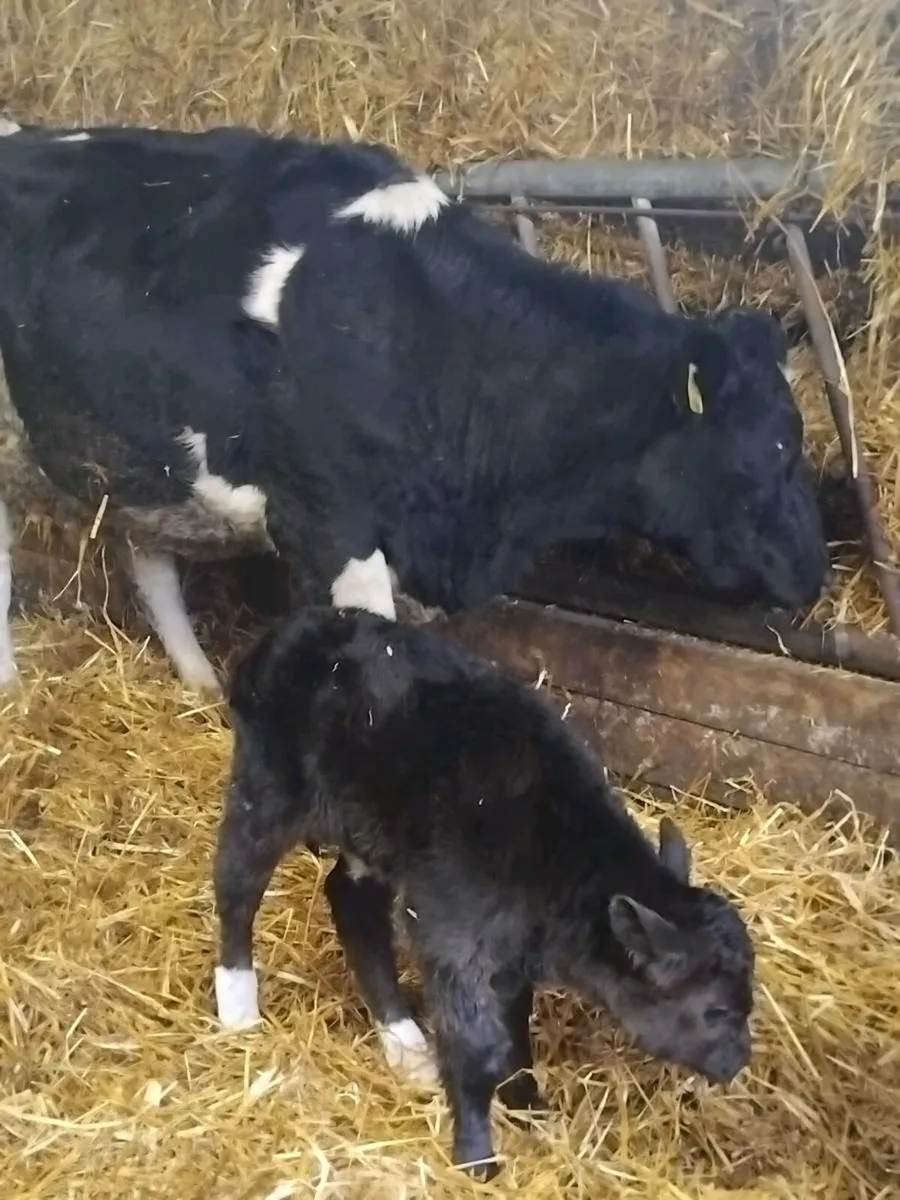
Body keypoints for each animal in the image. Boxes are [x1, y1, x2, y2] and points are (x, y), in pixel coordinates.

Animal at [213, 605, 755, 1179]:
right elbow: (479, 1049)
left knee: (351, 901)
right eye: (715, 1010)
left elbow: (516, 1032)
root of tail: (292, 629)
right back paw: (238, 1005)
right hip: (266, 788)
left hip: (370, 828)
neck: (555, 858)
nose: (738, 1061)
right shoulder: (456, 944)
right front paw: (477, 1158)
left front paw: (529, 1106)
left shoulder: (509, 956)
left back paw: (405, 1044)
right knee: (236, 885)